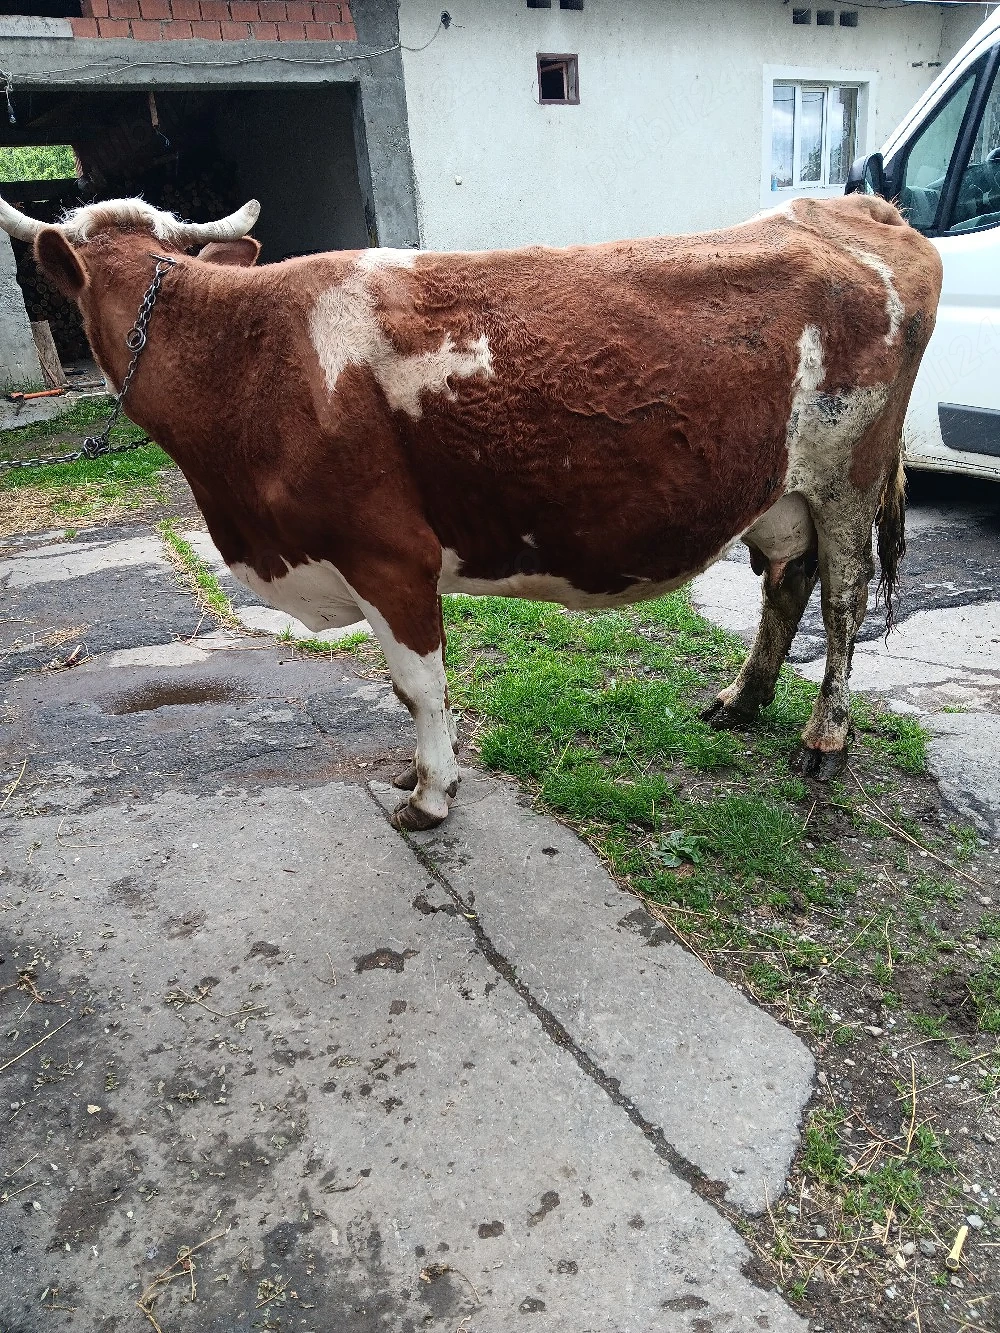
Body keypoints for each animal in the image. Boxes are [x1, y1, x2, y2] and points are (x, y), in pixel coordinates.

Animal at [0, 191, 941, 830]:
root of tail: (843, 206)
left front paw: (431, 793)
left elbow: (419, 685)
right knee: (786, 580)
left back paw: (825, 741)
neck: (251, 359)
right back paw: (741, 699)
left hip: (849, 479)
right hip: (780, 489)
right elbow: (411, 686)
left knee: (844, 601)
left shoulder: (388, 554)